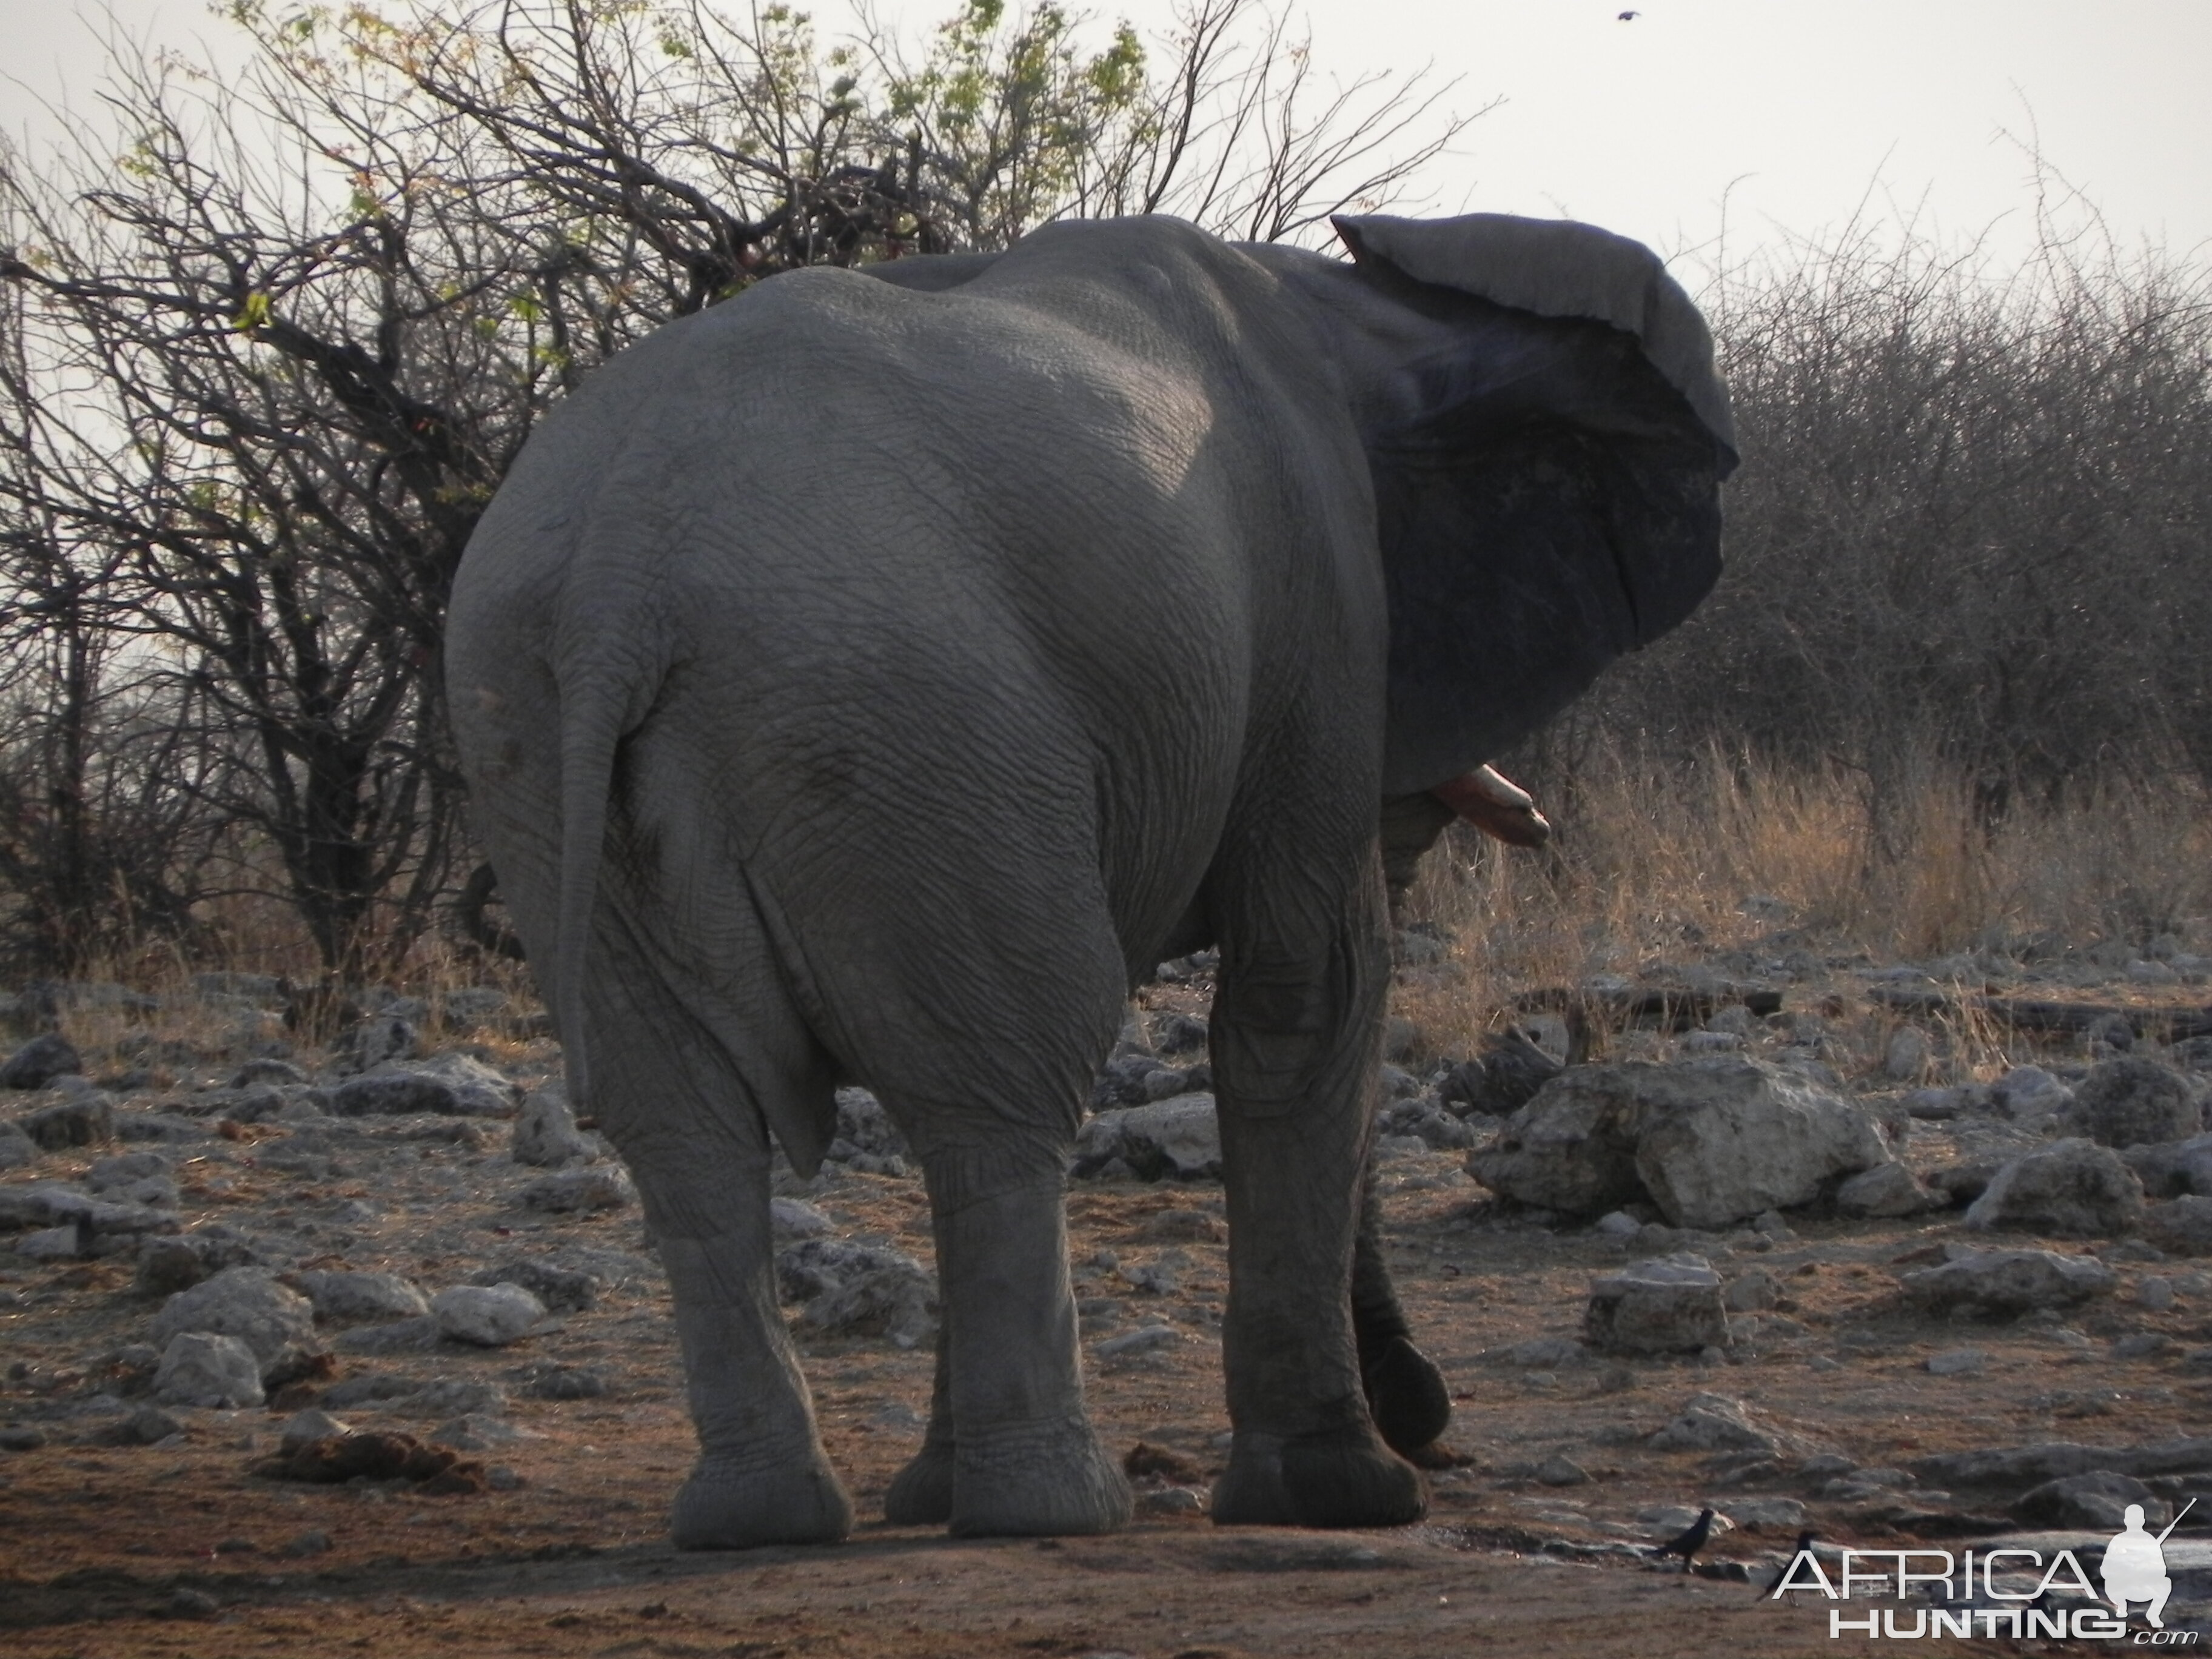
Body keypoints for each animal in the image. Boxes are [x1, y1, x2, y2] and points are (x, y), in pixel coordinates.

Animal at [444, 207, 1725, 1548]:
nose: (1427, 1413)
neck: (1355, 306)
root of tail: (617, 580)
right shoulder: (1315, 602)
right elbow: (1305, 997)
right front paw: (1346, 1497)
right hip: (905, 723)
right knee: (1006, 1096)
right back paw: (1053, 1510)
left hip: (536, 743)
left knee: (700, 1135)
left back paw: (772, 1521)